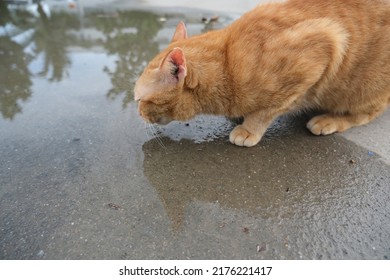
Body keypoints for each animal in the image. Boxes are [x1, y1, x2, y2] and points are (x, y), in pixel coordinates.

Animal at [135, 0, 390, 148]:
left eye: (139, 99)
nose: (138, 113)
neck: (227, 61)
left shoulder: (327, 42)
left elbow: (268, 110)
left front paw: (249, 129)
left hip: (361, 89)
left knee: (367, 113)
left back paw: (330, 119)